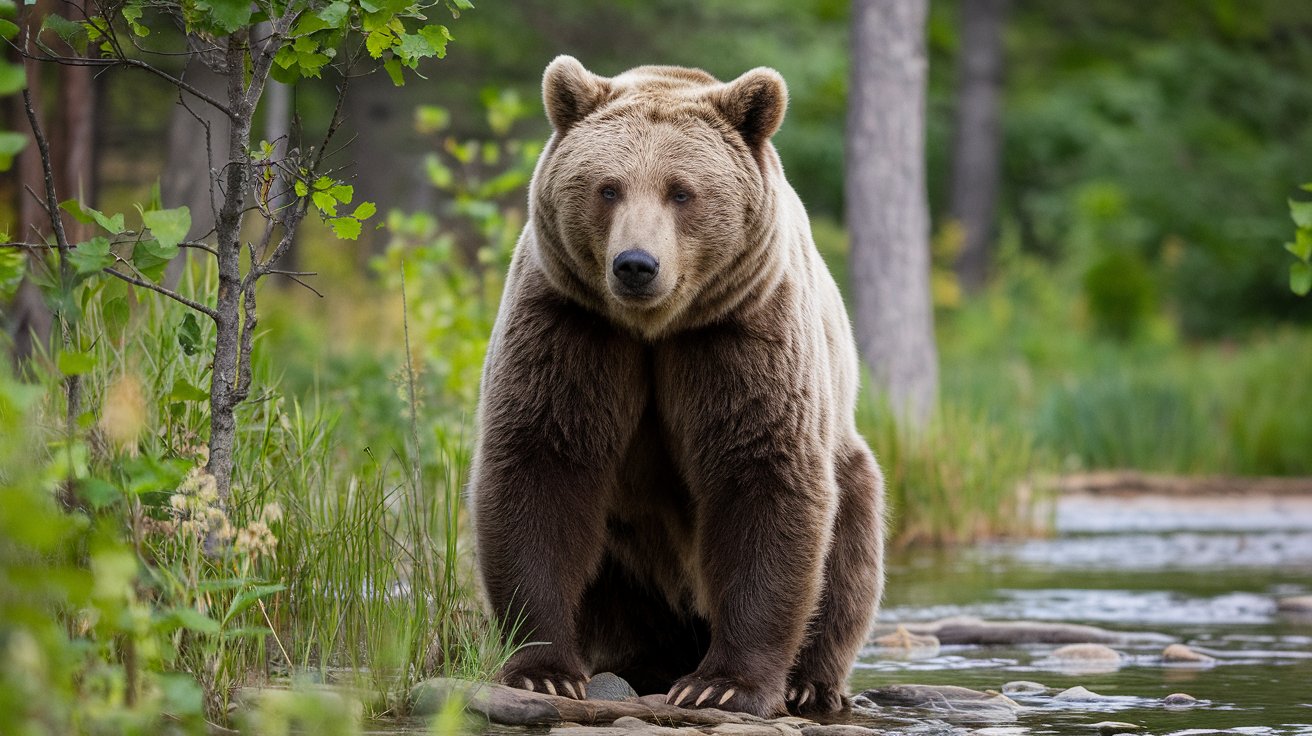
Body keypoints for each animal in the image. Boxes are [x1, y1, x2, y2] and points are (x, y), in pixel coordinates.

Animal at [467, 56, 886, 718]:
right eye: (608, 187)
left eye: (681, 191)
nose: (636, 264)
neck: (655, 328)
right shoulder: (571, 325)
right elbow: (542, 466)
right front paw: (543, 672)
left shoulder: (739, 334)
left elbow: (762, 476)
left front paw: (724, 683)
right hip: (629, 556)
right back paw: (641, 663)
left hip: (848, 457)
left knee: (849, 549)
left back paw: (810, 681)